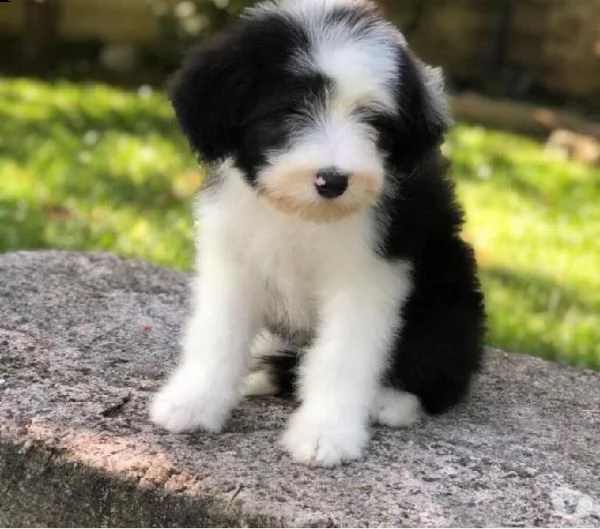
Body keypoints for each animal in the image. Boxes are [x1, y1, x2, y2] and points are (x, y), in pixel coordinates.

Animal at [149, 0, 482, 464]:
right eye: (289, 110)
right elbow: (219, 332)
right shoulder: (234, 256)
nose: (334, 180)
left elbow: (343, 354)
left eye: (373, 120)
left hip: (450, 305)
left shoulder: (370, 272)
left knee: (440, 369)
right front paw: (194, 402)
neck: (304, 216)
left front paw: (327, 434)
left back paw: (390, 402)